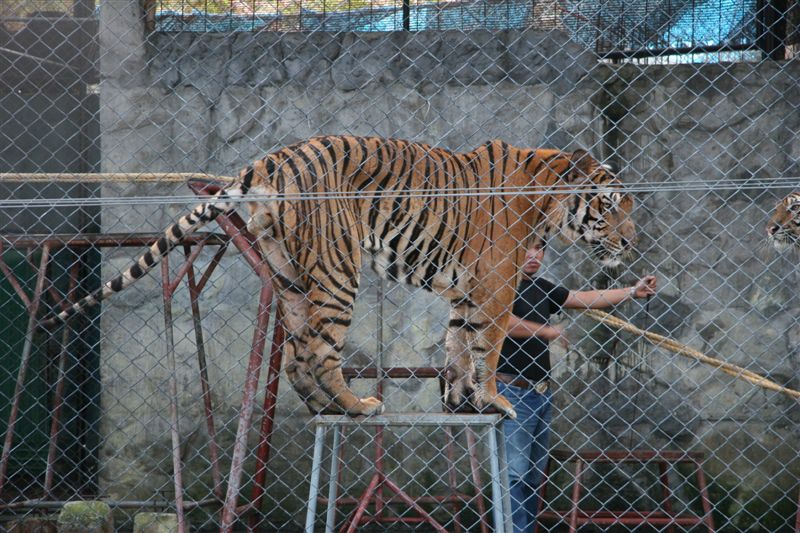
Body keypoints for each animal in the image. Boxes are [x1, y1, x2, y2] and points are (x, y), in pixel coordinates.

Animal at [48, 135, 636, 419]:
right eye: (610, 205)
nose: (630, 242)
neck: (547, 199)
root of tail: (268, 162)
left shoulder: (465, 290)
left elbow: (456, 346)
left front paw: (461, 402)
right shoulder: (494, 285)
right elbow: (487, 348)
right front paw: (493, 401)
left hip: (287, 275)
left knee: (295, 357)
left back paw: (326, 409)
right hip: (337, 274)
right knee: (319, 351)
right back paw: (355, 407)